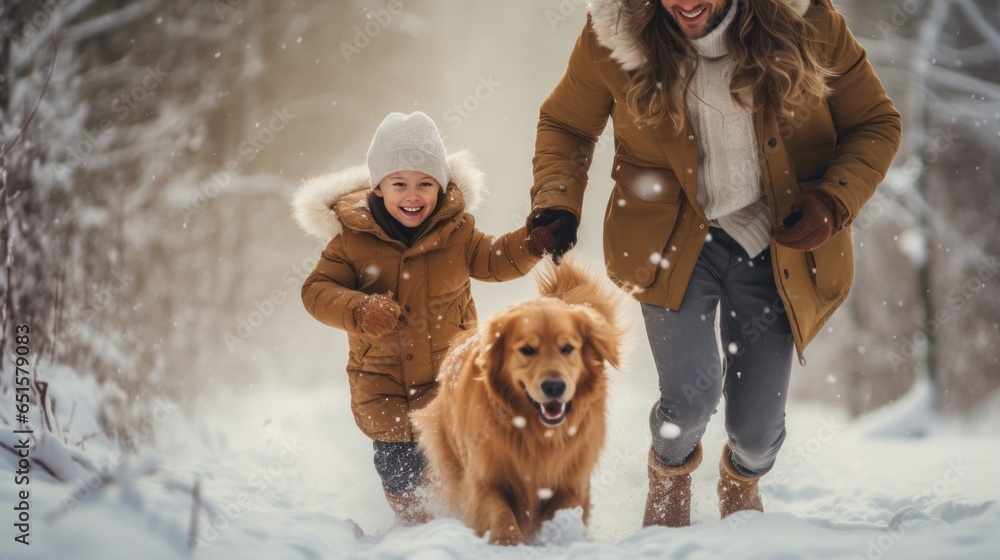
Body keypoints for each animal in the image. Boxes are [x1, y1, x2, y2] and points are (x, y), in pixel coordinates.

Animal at [410, 260, 620, 544]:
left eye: (567, 348)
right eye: (527, 350)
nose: (554, 386)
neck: (536, 434)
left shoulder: (572, 479)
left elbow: (564, 513)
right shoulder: (484, 479)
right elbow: (500, 514)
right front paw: (507, 543)